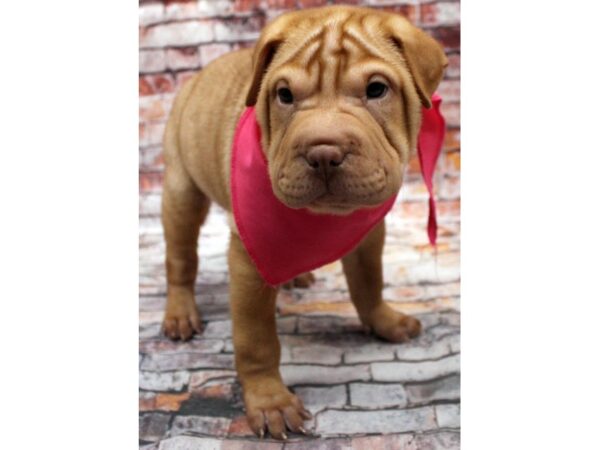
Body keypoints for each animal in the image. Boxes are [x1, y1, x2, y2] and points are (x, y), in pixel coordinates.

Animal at [159, 3, 446, 440]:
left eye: (377, 90)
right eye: (284, 96)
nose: (323, 152)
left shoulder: (368, 235)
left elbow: (369, 284)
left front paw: (383, 321)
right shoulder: (249, 259)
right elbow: (256, 339)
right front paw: (270, 402)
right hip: (181, 191)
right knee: (181, 258)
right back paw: (180, 312)